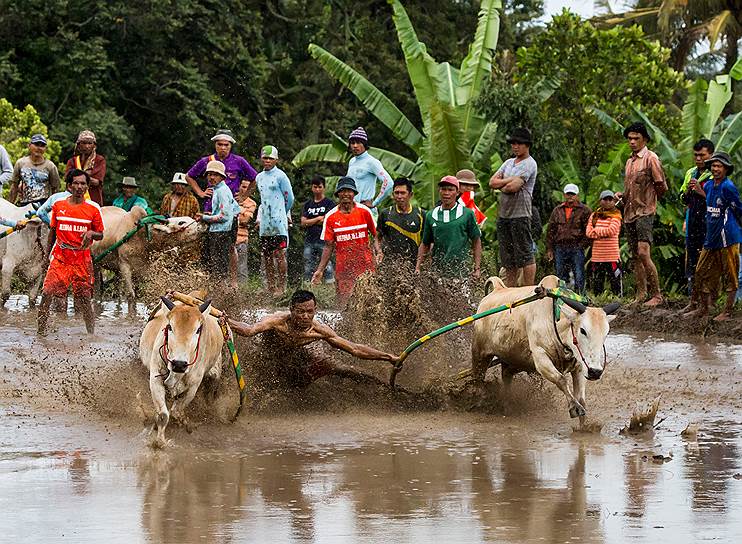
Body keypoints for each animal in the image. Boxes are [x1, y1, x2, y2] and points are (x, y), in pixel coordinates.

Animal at [140, 296, 224, 444]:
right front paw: (159, 442)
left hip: (215, 374)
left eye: (198, 330)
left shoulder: (193, 387)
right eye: (170, 327)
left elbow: (176, 411)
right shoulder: (155, 380)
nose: (179, 364)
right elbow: (163, 415)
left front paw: (186, 424)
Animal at [474, 276, 620, 420]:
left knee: (506, 376)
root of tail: (497, 289)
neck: (554, 319)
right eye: (583, 330)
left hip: (513, 360)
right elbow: (561, 380)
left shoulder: (580, 366)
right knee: (477, 378)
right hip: (479, 354)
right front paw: (574, 407)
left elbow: (582, 400)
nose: (595, 372)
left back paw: (507, 405)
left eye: (606, 333)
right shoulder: (540, 358)